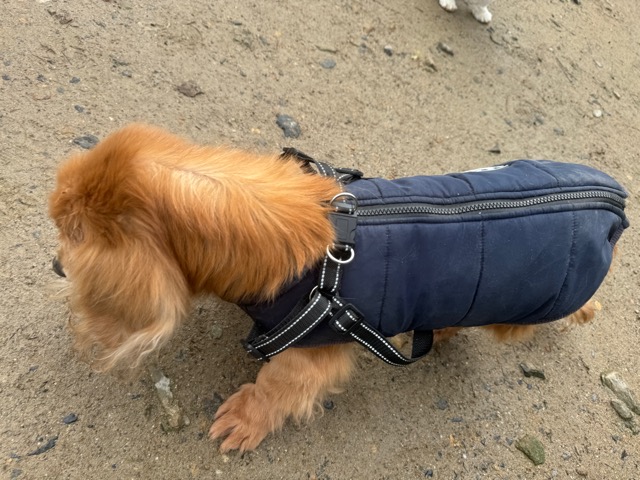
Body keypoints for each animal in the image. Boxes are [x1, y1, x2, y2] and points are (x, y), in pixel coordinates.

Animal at [49, 124, 627, 452]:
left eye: (70, 232)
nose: (55, 266)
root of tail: (613, 208)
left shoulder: (311, 350)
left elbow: (276, 386)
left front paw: (246, 417)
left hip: (515, 310)